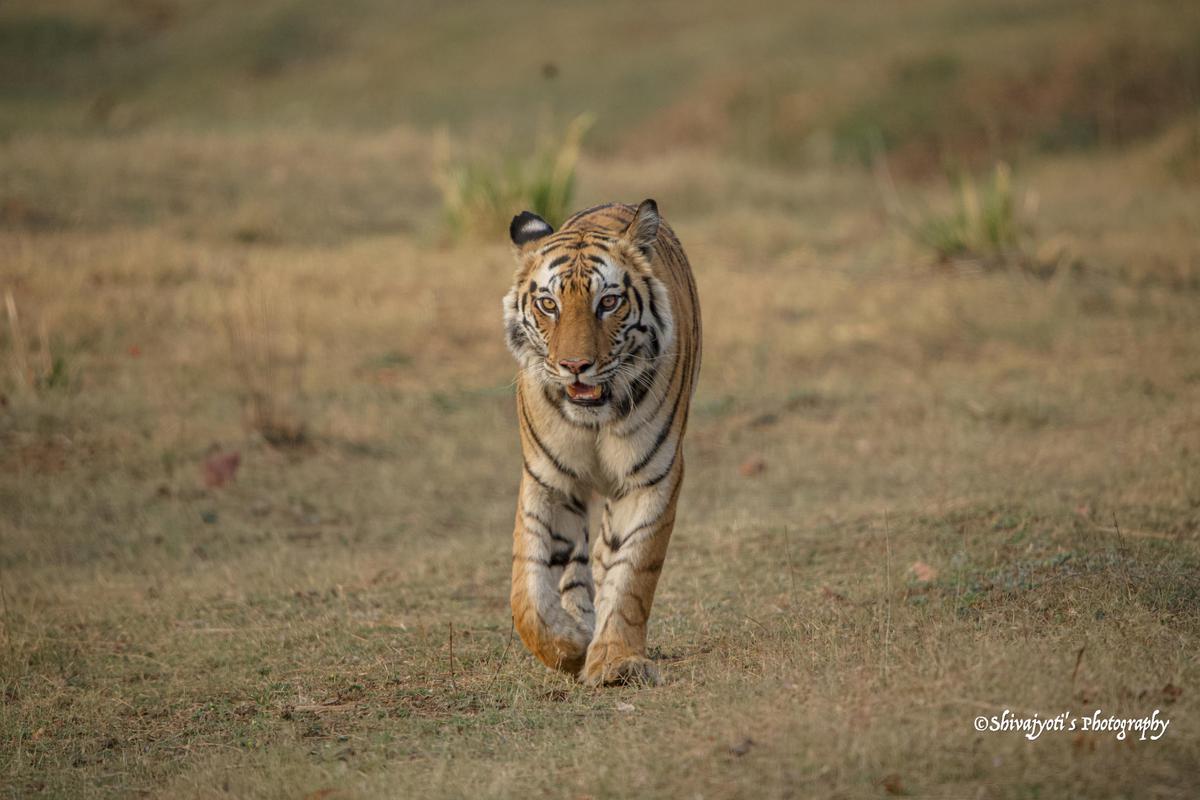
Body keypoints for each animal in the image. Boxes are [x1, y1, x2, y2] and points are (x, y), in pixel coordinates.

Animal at [499, 200, 700, 690]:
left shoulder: (652, 477)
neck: (594, 420)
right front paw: (569, 646)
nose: (575, 366)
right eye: (548, 304)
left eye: (608, 302)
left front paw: (615, 661)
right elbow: (527, 592)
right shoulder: (547, 479)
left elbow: (633, 575)